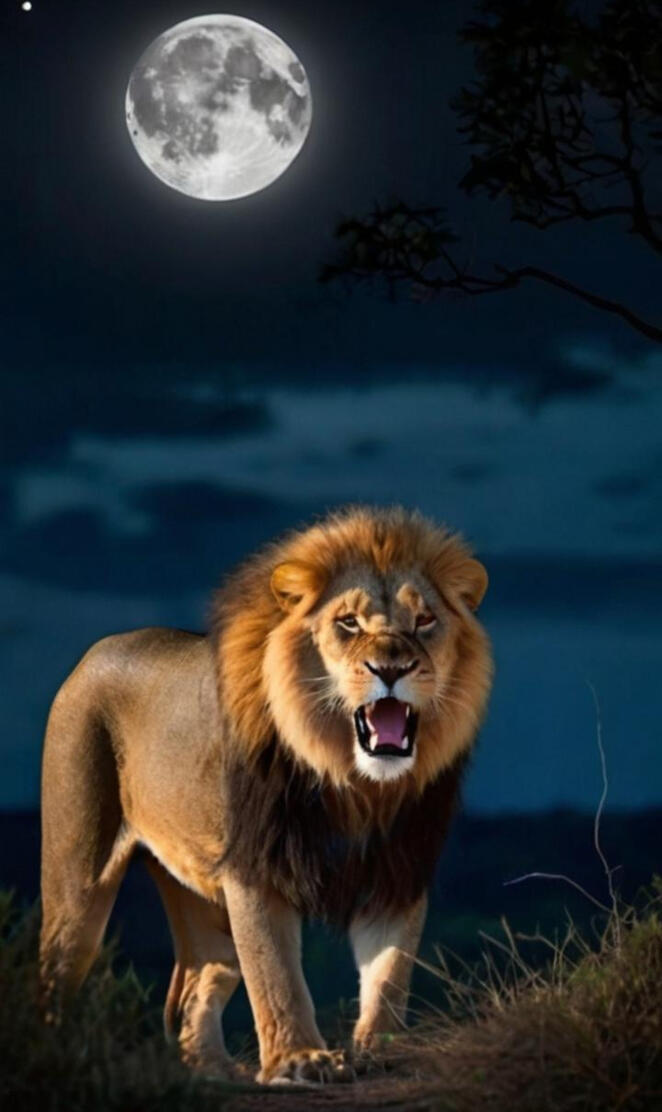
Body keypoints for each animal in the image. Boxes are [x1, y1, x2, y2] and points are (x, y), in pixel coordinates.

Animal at [39, 504, 493, 1085]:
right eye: (348, 623)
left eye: (425, 621)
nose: (391, 669)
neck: (355, 782)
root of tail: (99, 649)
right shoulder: (256, 866)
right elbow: (276, 974)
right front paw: (300, 1059)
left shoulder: (399, 869)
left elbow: (391, 970)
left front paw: (383, 1049)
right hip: (78, 879)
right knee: (56, 969)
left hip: (204, 898)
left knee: (192, 988)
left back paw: (211, 1071)